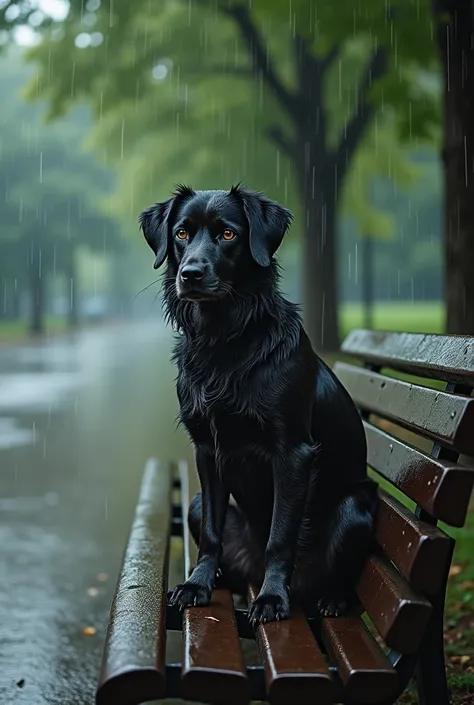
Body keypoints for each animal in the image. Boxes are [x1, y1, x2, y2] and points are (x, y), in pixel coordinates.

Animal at [140, 184, 378, 624]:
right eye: (181, 233)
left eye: (228, 234)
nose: (190, 274)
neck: (224, 340)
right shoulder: (206, 449)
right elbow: (212, 534)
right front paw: (197, 585)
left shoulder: (293, 453)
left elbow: (280, 536)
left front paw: (270, 598)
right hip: (195, 504)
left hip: (353, 508)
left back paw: (331, 597)